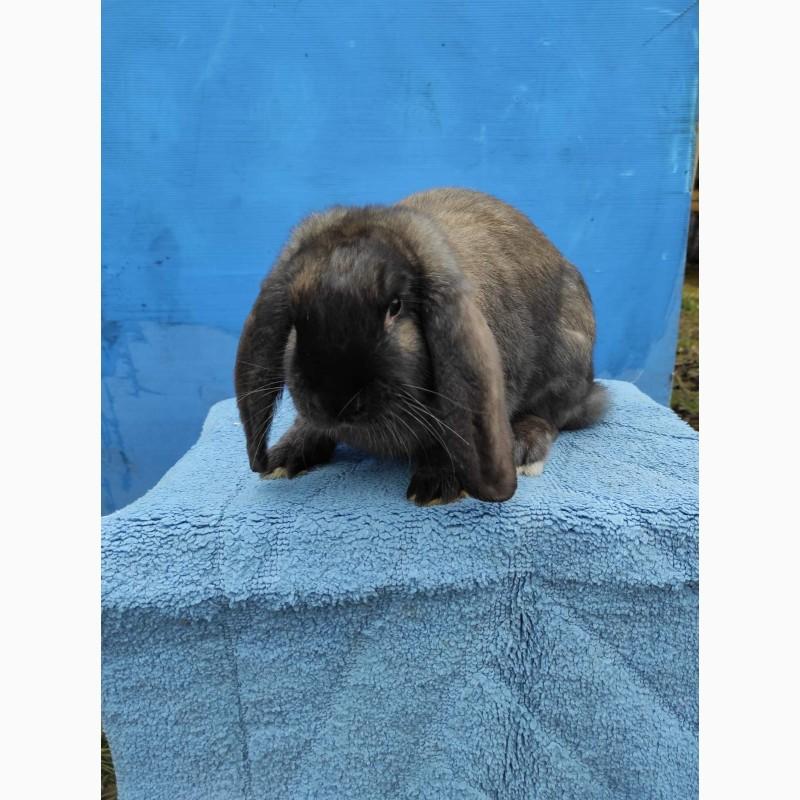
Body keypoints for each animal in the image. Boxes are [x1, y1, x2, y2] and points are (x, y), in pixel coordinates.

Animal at [235, 187, 606, 505]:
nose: (335, 402)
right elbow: (309, 425)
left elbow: (454, 438)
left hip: (566, 362)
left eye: (395, 307)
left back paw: (523, 450)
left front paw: (436, 487)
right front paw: (283, 459)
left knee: (550, 418)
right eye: (297, 317)